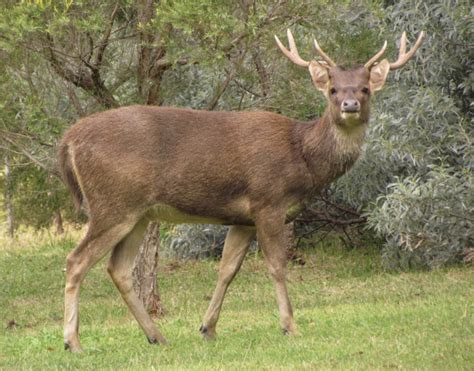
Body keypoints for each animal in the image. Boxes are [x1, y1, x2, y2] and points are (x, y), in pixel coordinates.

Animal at [57, 28, 424, 352]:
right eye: (333, 89)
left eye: (365, 89)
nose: (349, 104)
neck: (302, 158)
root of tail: (69, 140)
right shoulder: (268, 201)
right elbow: (277, 265)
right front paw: (290, 326)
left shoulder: (242, 218)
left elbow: (227, 270)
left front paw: (207, 328)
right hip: (113, 203)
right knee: (76, 260)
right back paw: (73, 342)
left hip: (139, 213)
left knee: (118, 269)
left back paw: (157, 336)